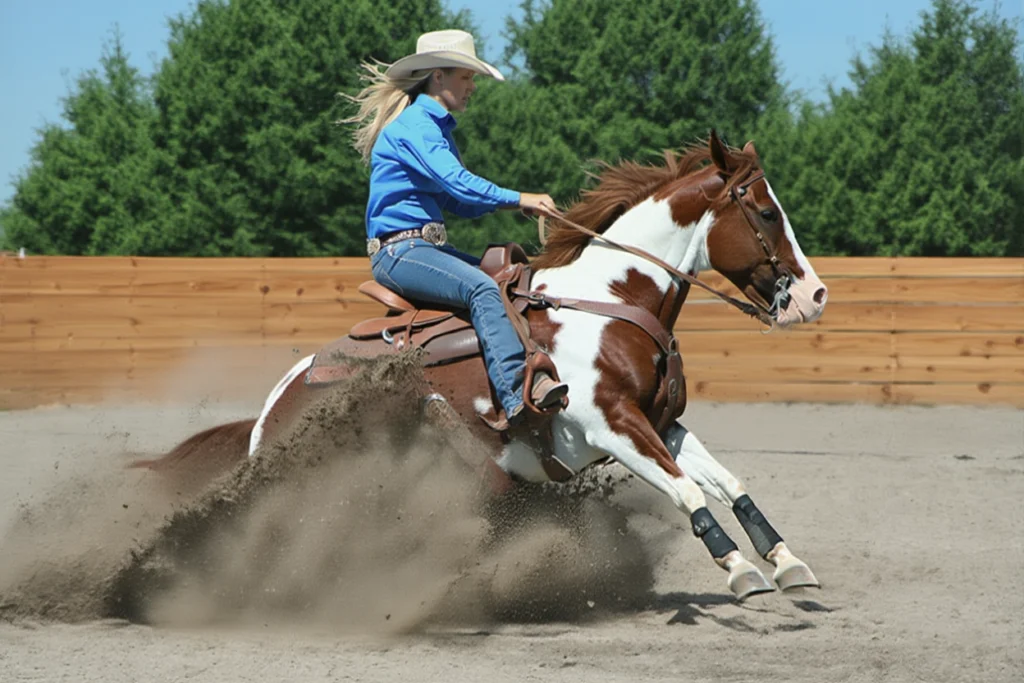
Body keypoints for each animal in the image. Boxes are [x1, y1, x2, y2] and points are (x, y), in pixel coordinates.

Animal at [134, 132, 828, 600]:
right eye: (767, 212)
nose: (815, 295)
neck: (612, 299)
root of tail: (271, 410)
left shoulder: (662, 425)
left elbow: (730, 484)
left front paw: (786, 562)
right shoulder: (613, 427)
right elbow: (688, 491)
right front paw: (740, 571)